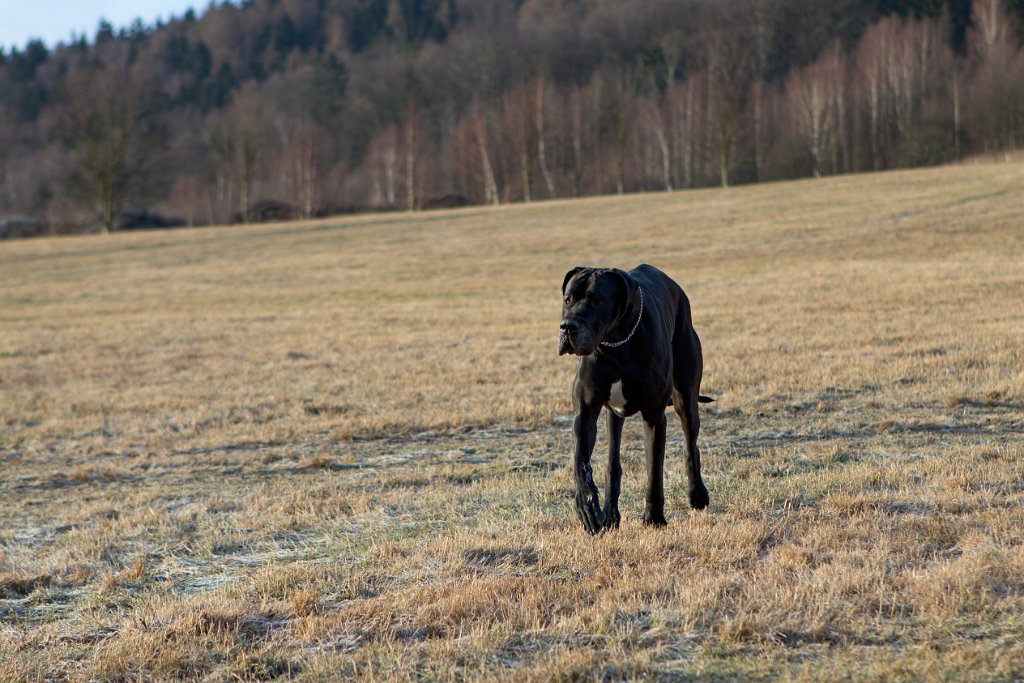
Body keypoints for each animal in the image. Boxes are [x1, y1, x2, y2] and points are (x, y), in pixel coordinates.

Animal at [561, 264, 712, 536]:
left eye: (599, 300)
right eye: (568, 300)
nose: (568, 327)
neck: (615, 343)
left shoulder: (654, 416)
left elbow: (654, 471)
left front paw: (654, 518)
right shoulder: (585, 413)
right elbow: (581, 463)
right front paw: (588, 507)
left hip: (686, 397)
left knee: (690, 443)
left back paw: (698, 495)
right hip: (614, 415)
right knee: (613, 463)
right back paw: (611, 515)